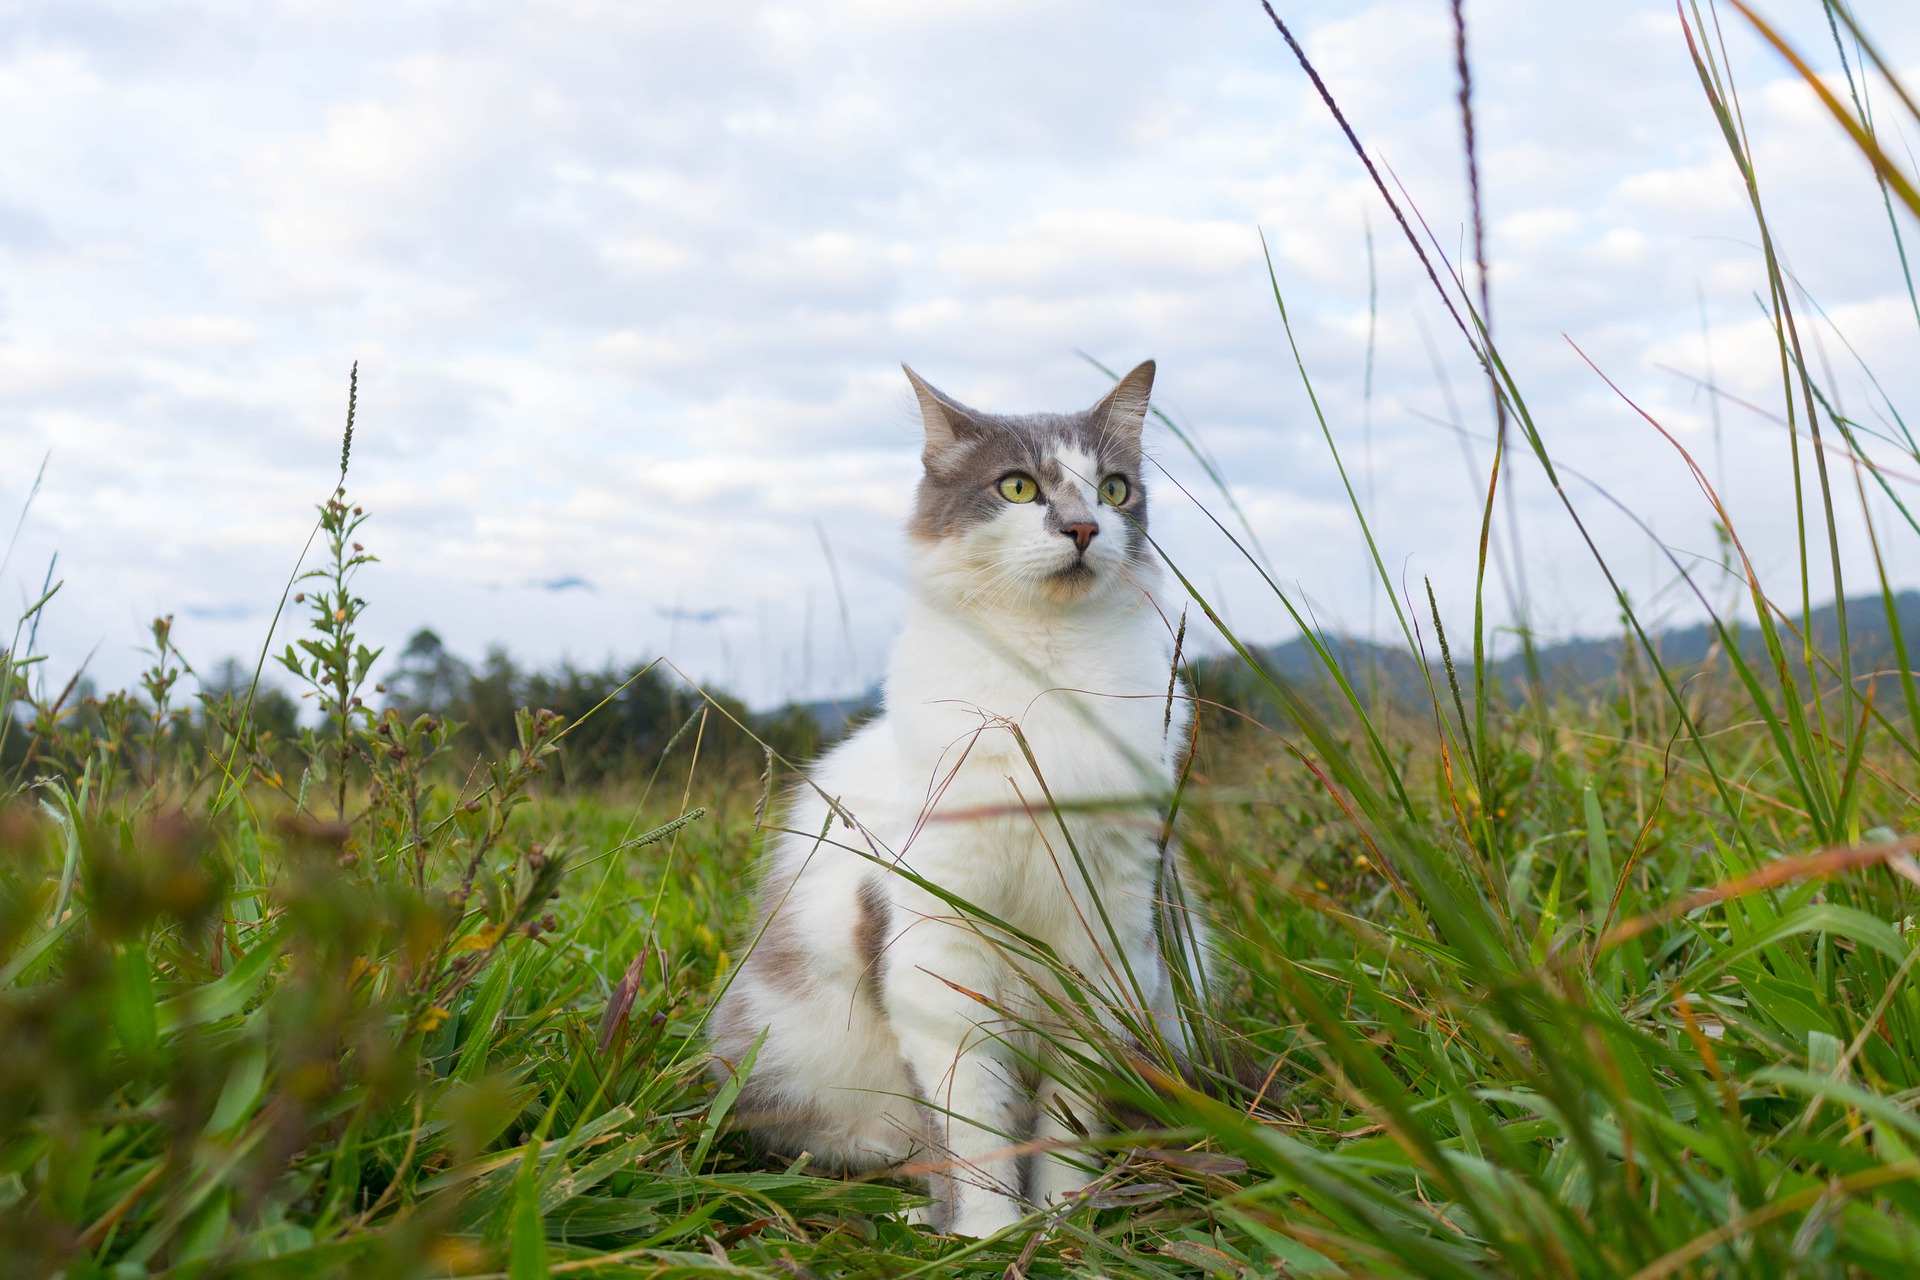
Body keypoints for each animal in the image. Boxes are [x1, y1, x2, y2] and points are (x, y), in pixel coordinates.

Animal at [714, 360, 1205, 1243]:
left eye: (1114, 489)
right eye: (1017, 487)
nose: (1083, 528)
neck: (1045, 677)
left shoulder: (1105, 941)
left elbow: (1065, 1121)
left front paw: (1061, 1220)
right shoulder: (941, 952)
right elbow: (973, 1124)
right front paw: (984, 1232)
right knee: (882, 1143)